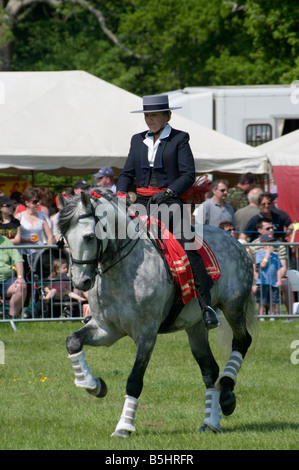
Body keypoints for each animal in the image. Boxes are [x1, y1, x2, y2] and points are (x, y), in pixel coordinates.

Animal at [59, 190, 258, 436]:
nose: (81, 282)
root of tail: (235, 241)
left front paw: (124, 427)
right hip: (196, 326)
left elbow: (135, 380)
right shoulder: (107, 330)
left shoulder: (146, 334)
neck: (123, 270)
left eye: (88, 237)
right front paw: (93, 385)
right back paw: (210, 422)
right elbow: (73, 341)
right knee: (209, 370)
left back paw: (228, 394)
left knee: (242, 341)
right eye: (66, 238)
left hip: (234, 307)